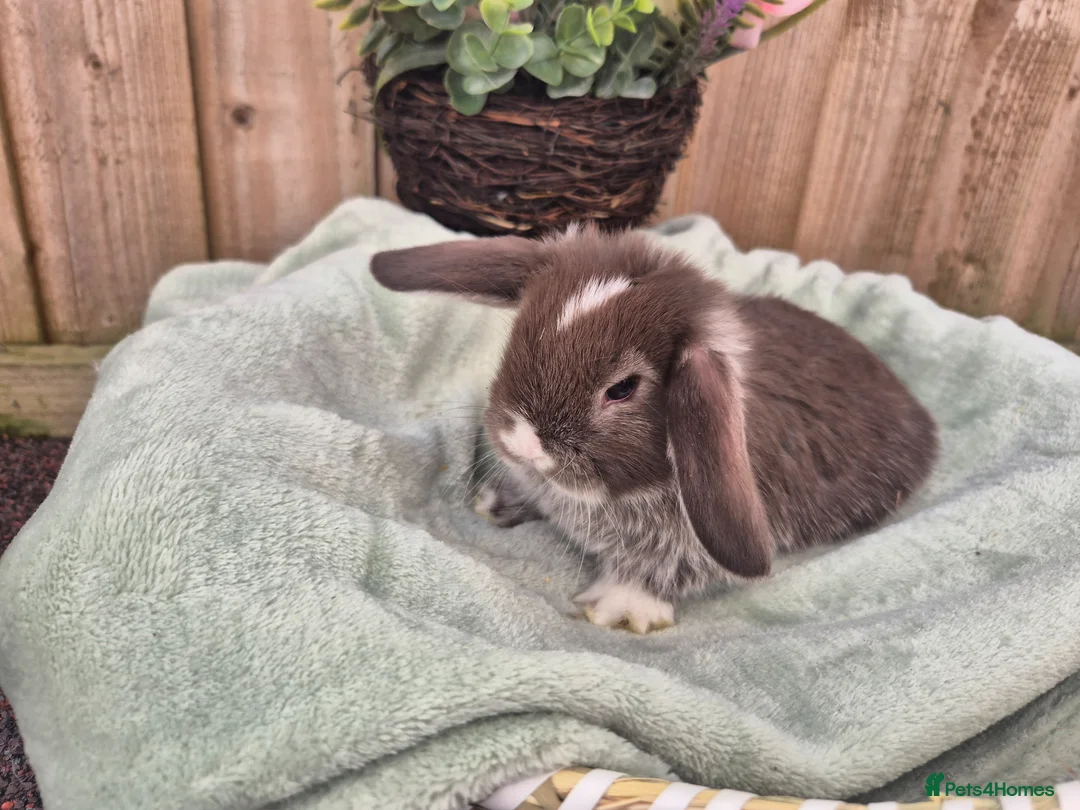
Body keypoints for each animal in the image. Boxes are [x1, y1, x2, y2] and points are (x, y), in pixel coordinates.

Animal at [369, 223, 938, 633]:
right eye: (519, 336)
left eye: (622, 388)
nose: (523, 443)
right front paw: (494, 503)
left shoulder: (687, 541)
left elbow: (667, 568)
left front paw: (619, 609)